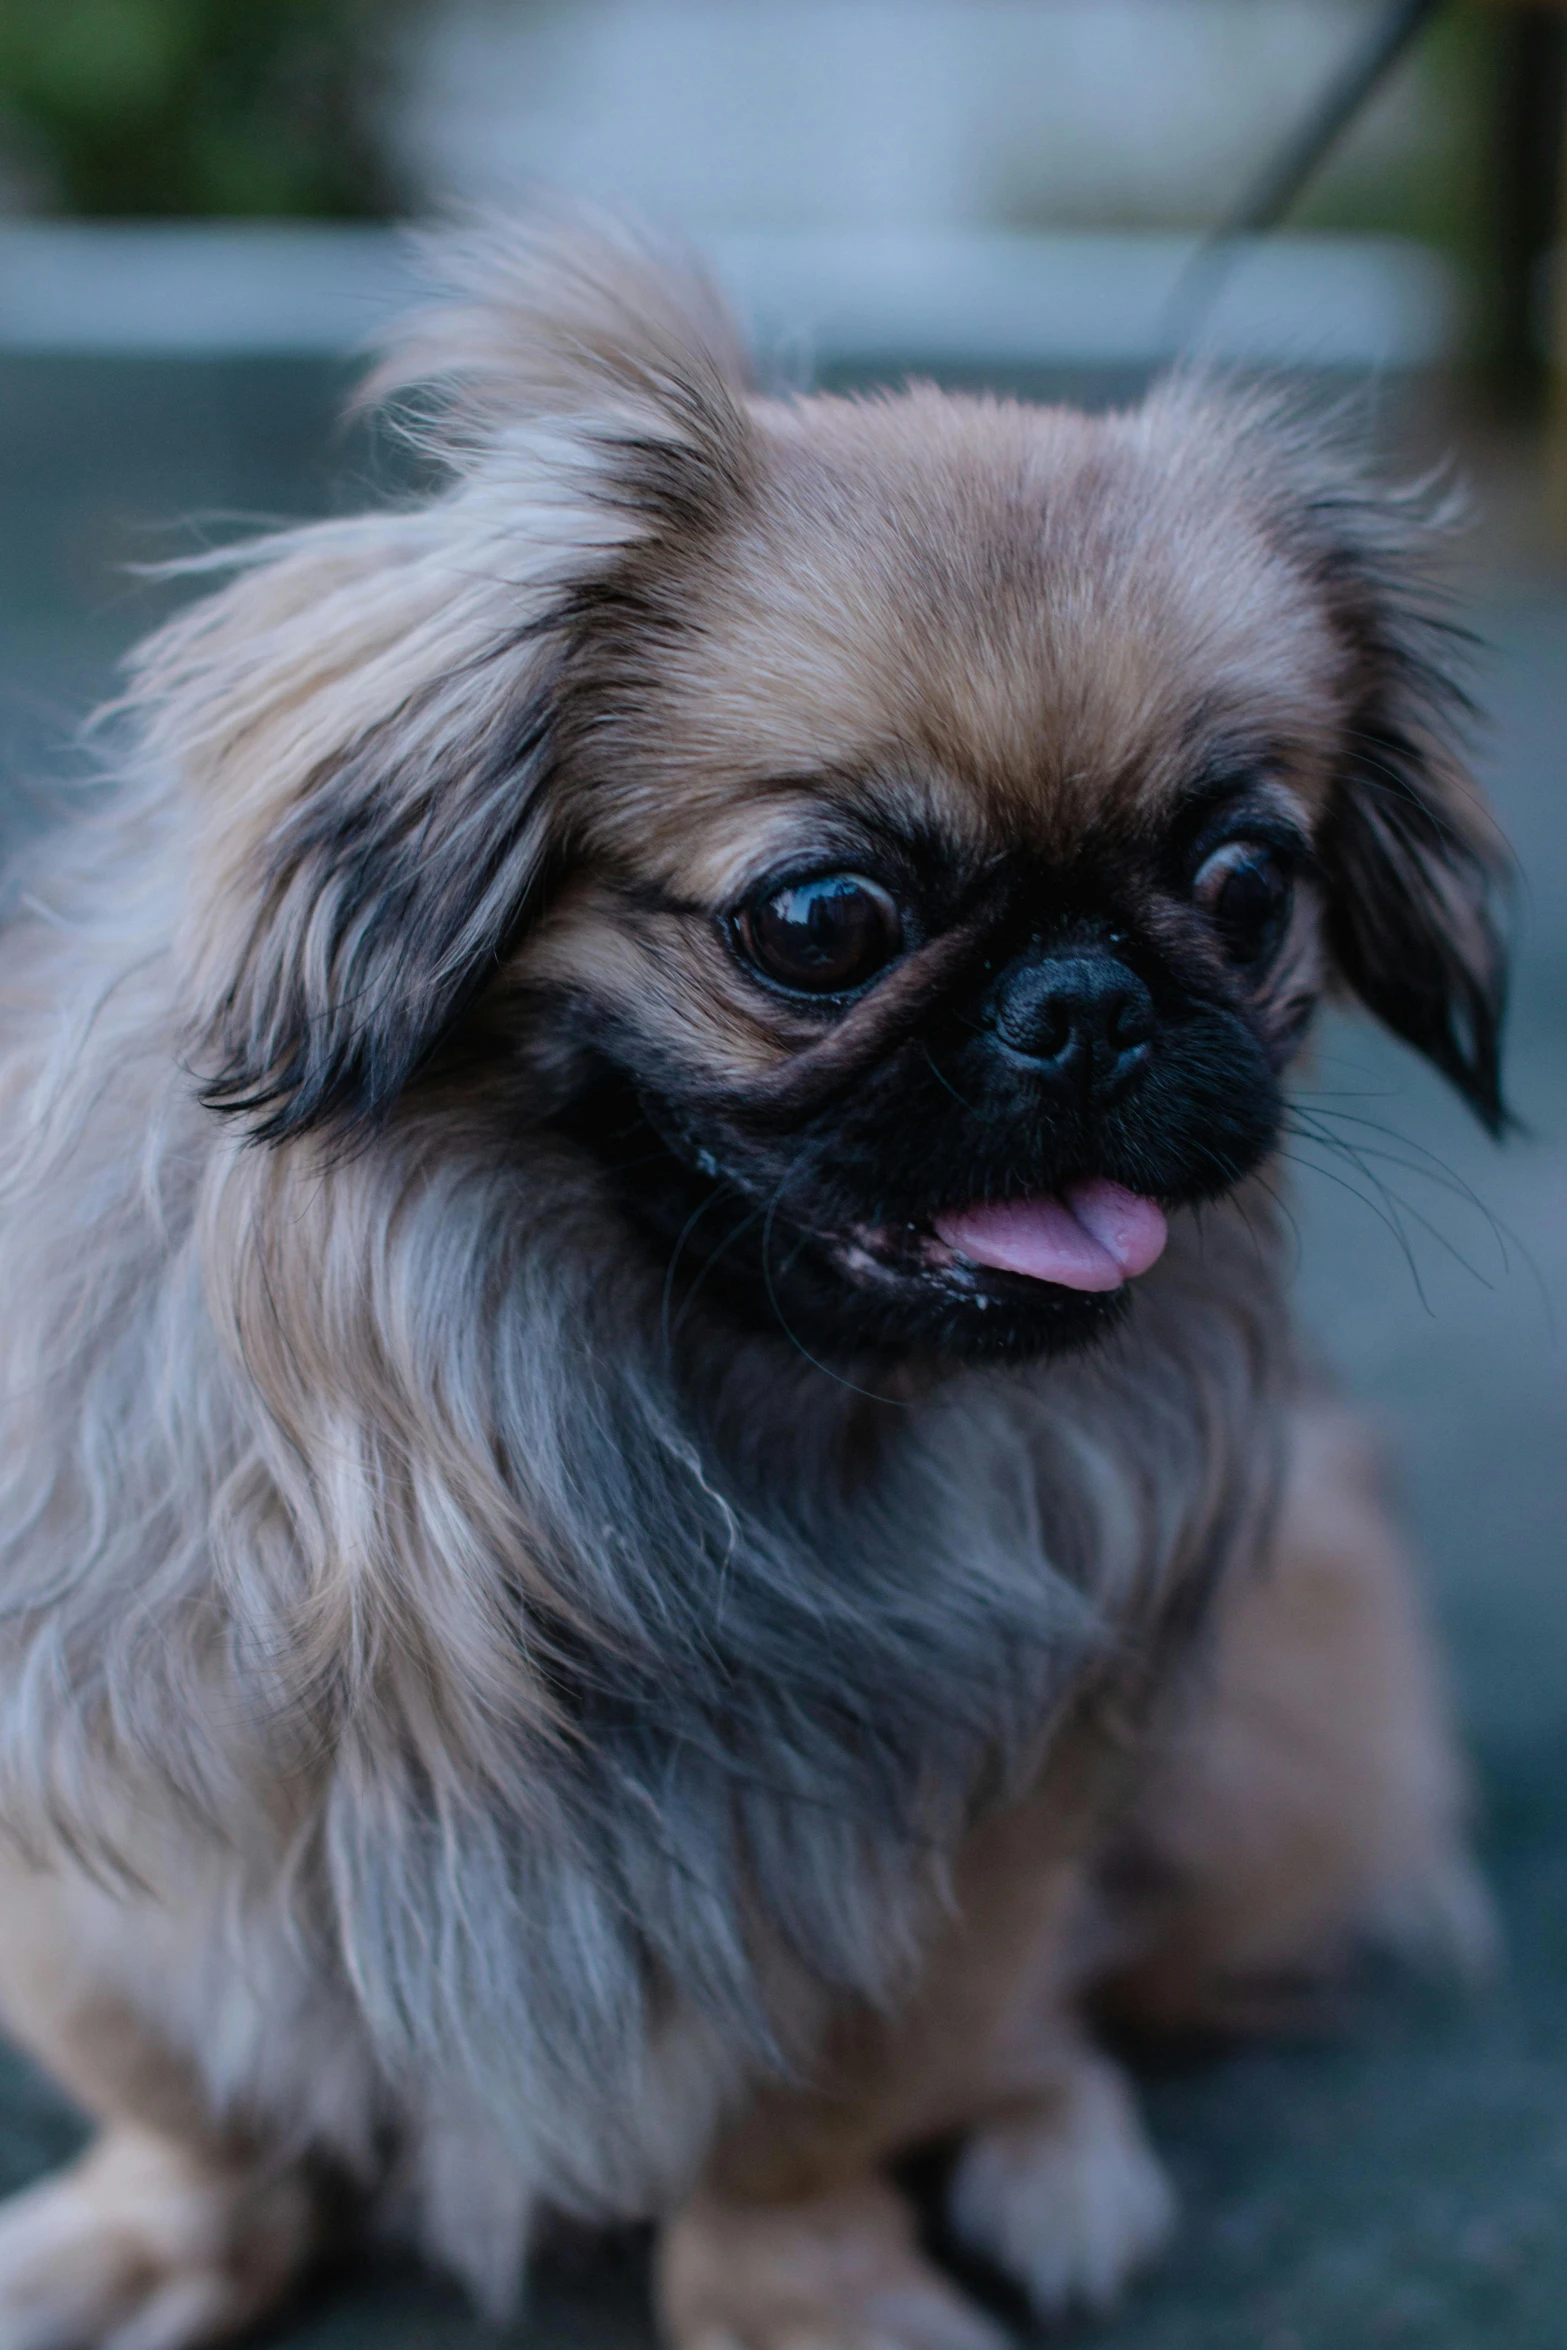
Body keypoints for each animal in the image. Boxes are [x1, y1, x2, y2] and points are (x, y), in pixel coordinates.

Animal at [0, 224, 1503, 2350]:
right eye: (820, 922)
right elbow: (178, 2086)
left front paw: (816, 2300)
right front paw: (152, 2241)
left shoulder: (935, 1855)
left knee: (1070, 2006)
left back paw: (1056, 2155)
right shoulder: (119, 1848)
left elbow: (818, 2121)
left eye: (1239, 889)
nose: (1088, 1003)